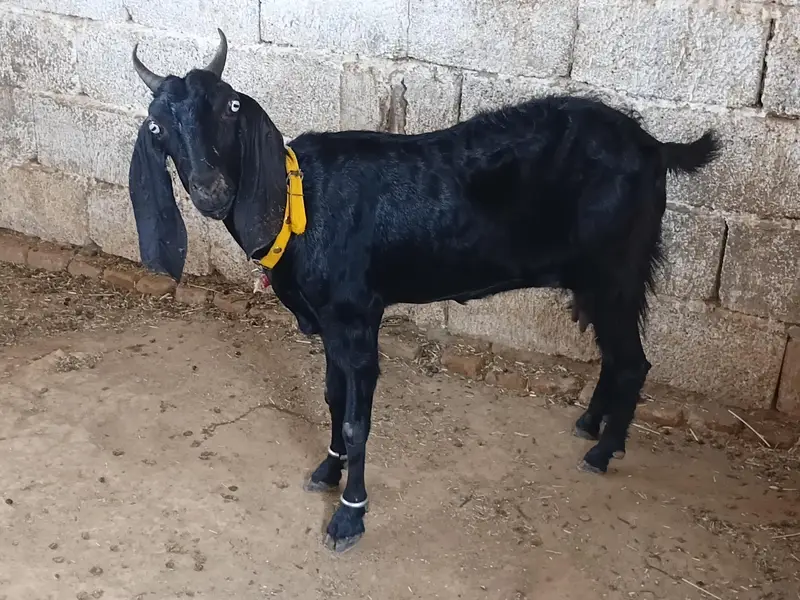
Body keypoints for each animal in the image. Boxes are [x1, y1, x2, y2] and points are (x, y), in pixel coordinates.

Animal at [128, 30, 720, 552]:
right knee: (613, 354)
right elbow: (332, 397)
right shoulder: (329, 324)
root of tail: (654, 145)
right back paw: (589, 425)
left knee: (634, 360)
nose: (212, 189)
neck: (302, 204)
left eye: (230, 107)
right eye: (158, 127)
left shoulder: (357, 318)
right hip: (592, 279)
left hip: (618, 269)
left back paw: (603, 452)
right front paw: (326, 469)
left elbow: (357, 418)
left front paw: (349, 516)